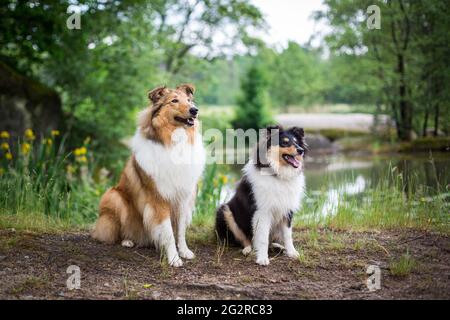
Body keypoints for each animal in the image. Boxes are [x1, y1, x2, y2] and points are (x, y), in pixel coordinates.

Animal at [93, 84, 206, 266]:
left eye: (189, 100)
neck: (173, 142)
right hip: (114, 196)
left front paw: (184, 251)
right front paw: (174, 258)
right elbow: (168, 232)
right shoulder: (159, 198)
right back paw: (127, 240)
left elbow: (180, 230)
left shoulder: (183, 196)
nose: (194, 110)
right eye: (174, 100)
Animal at [216, 125, 308, 264]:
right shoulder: (263, 211)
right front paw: (262, 258)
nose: (301, 150)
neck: (277, 174)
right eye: (285, 142)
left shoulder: (287, 209)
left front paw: (292, 252)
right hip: (225, 211)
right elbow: (263, 237)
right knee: (245, 239)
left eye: (297, 142)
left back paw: (278, 246)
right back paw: (248, 249)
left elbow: (288, 235)